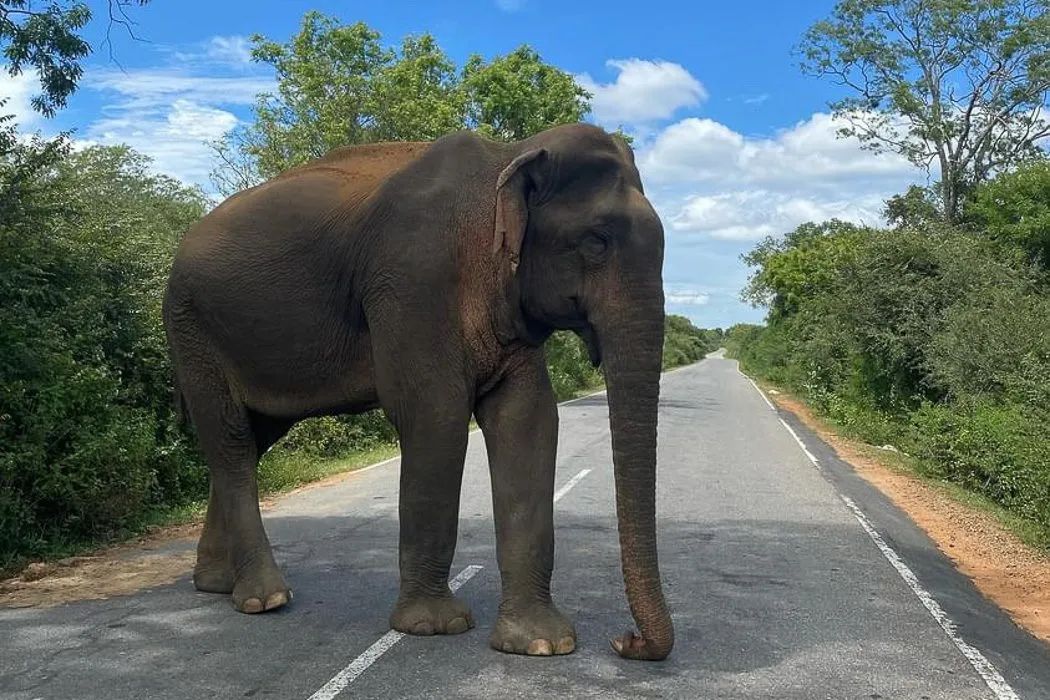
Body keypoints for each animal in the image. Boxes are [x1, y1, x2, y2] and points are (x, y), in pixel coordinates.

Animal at [161, 122, 673, 661]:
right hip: (192, 330)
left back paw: (217, 584)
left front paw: (541, 645)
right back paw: (265, 599)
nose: (626, 641)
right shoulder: (413, 281)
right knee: (231, 441)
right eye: (596, 242)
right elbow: (436, 416)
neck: (508, 158)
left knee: (252, 439)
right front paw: (434, 626)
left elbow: (529, 420)